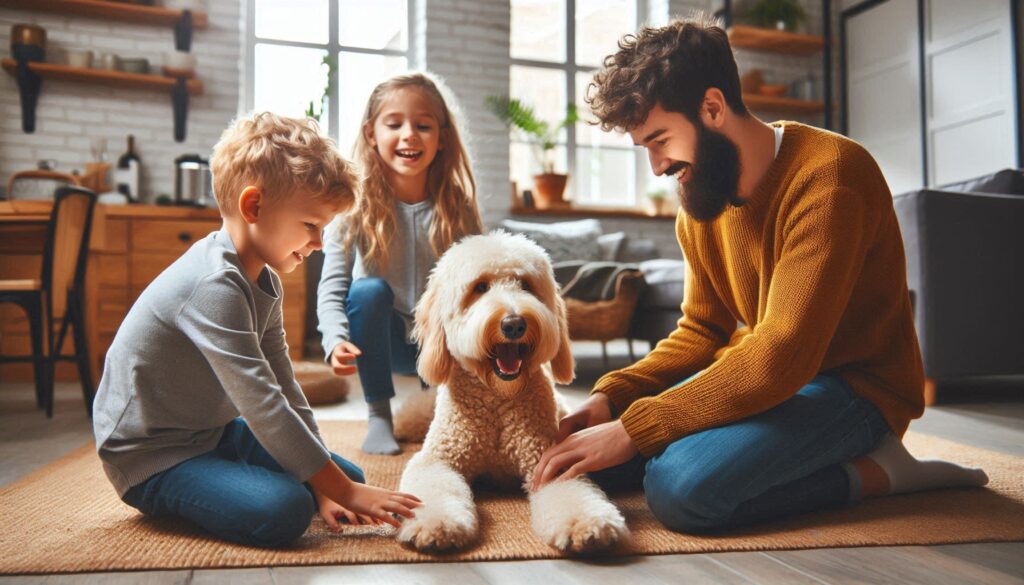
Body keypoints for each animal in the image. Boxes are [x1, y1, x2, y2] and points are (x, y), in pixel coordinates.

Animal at [393, 232, 626, 553]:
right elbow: (433, 487)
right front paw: (437, 523)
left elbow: (572, 490)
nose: (514, 324)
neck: (497, 401)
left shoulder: (548, 459)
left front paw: (588, 524)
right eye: (480, 287)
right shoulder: (436, 460)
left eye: (526, 285)